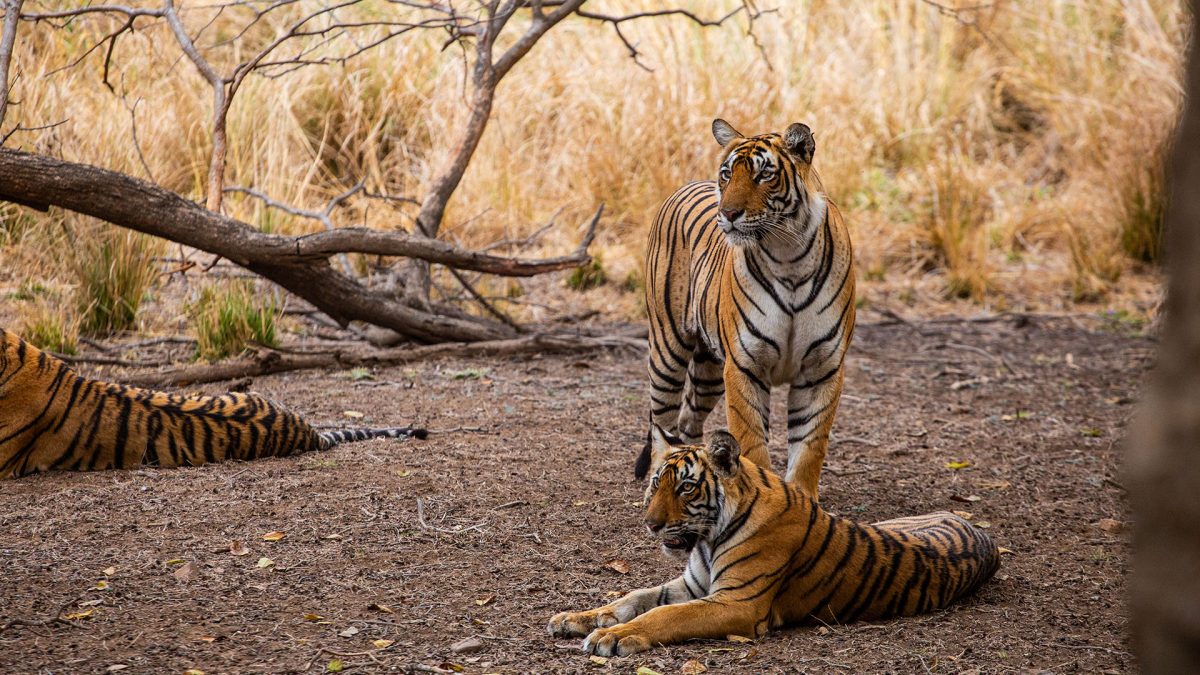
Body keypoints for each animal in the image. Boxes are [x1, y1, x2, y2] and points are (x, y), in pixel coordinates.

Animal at [552, 425, 1003, 653]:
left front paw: (613, 637)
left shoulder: (738, 603)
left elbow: (665, 615)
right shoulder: (692, 584)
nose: (650, 524)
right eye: (655, 483)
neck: (708, 539)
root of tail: (975, 526)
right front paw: (576, 618)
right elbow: (633, 598)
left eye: (685, 488)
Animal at [638, 115, 854, 497]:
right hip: (667, 350)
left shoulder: (822, 369)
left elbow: (809, 449)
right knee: (661, 422)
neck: (789, 256)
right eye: (727, 173)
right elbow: (753, 444)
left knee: (688, 420)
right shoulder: (744, 366)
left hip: (709, 369)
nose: (728, 213)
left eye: (763, 174)